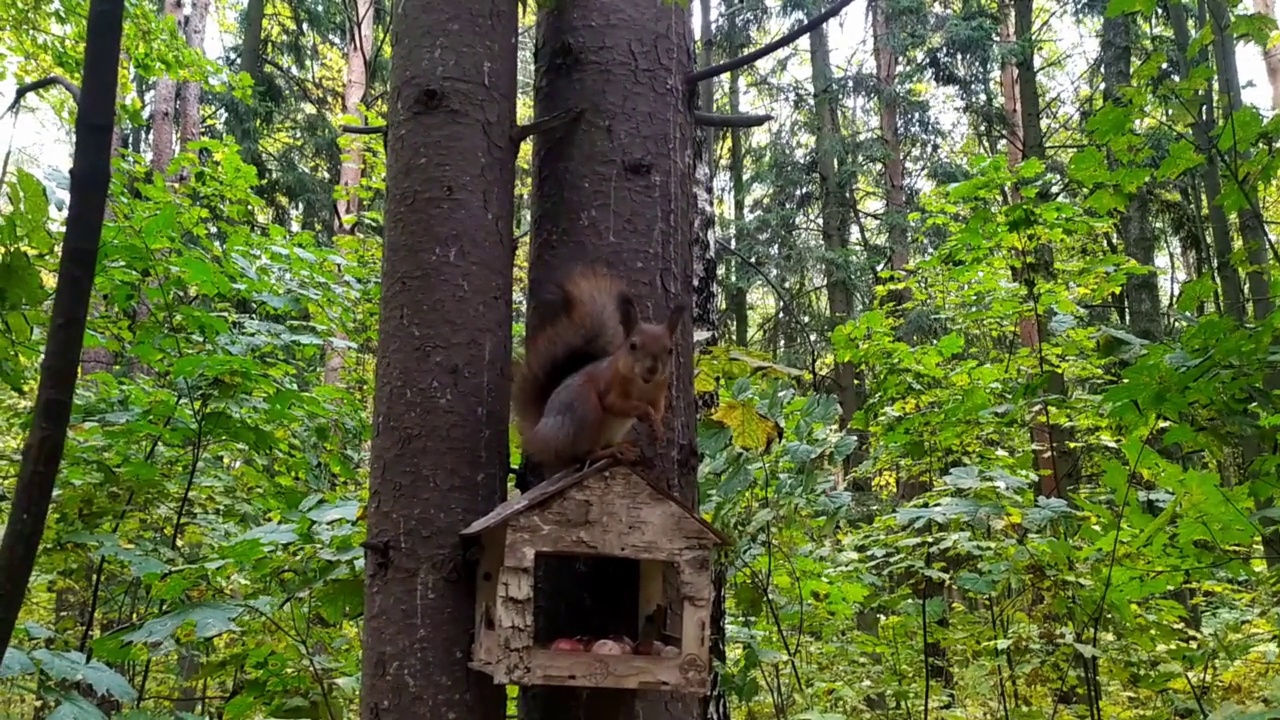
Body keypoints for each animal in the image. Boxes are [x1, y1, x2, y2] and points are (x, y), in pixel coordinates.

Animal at [512, 265, 691, 476]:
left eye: (670, 350)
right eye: (632, 346)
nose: (652, 369)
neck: (642, 384)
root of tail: (540, 435)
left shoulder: (659, 392)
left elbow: (658, 410)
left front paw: (658, 427)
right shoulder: (610, 385)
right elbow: (615, 403)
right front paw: (645, 413)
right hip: (585, 410)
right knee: (585, 455)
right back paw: (615, 451)